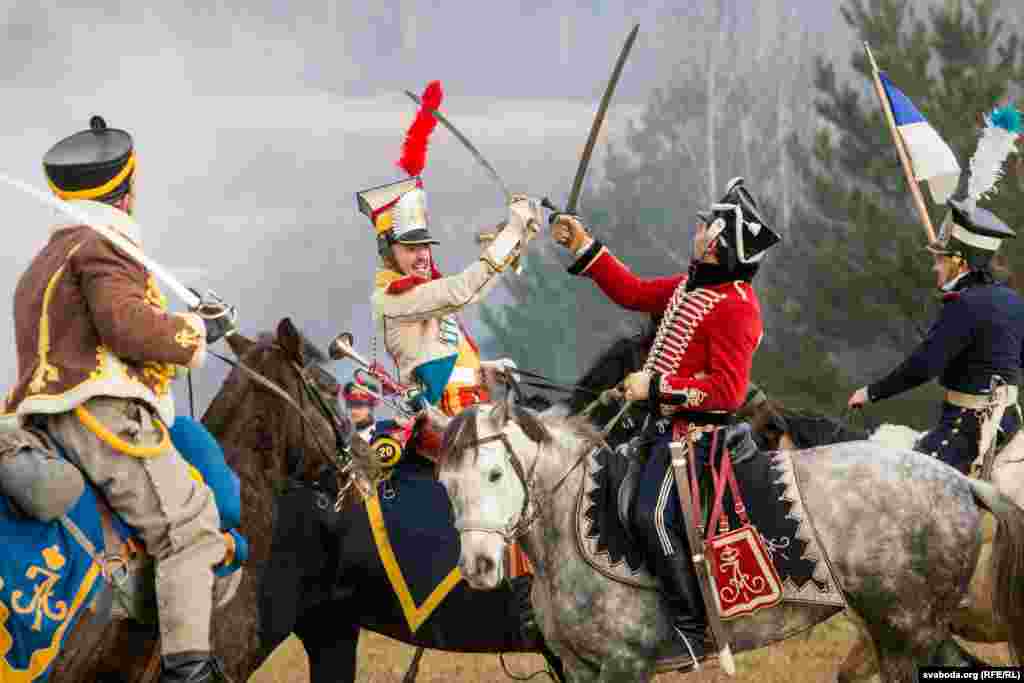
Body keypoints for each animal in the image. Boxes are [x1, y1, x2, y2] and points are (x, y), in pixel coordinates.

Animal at [430, 393, 1024, 682]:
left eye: (495, 474)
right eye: (446, 483)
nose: (478, 567)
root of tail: (960, 481)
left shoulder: (624, 665)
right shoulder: (579, 670)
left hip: (906, 636)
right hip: (907, 632)